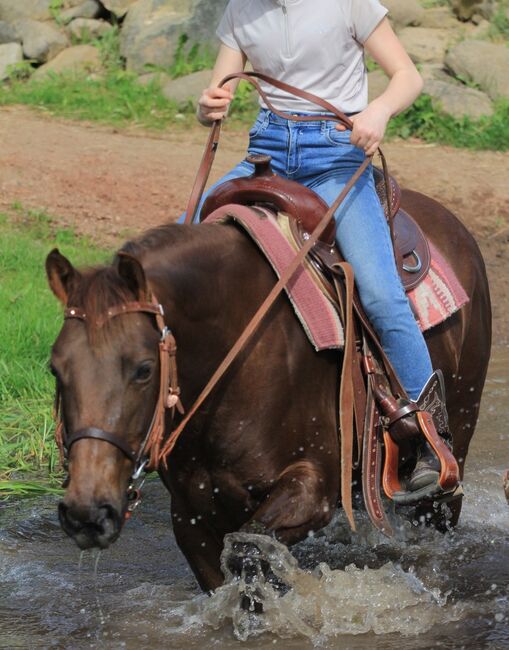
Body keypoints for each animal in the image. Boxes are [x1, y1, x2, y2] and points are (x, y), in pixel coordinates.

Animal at [45, 185, 490, 588]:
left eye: (143, 370)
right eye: (55, 369)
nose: (87, 513)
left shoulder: (313, 489)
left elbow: (249, 549)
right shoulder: (189, 515)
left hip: (454, 450)